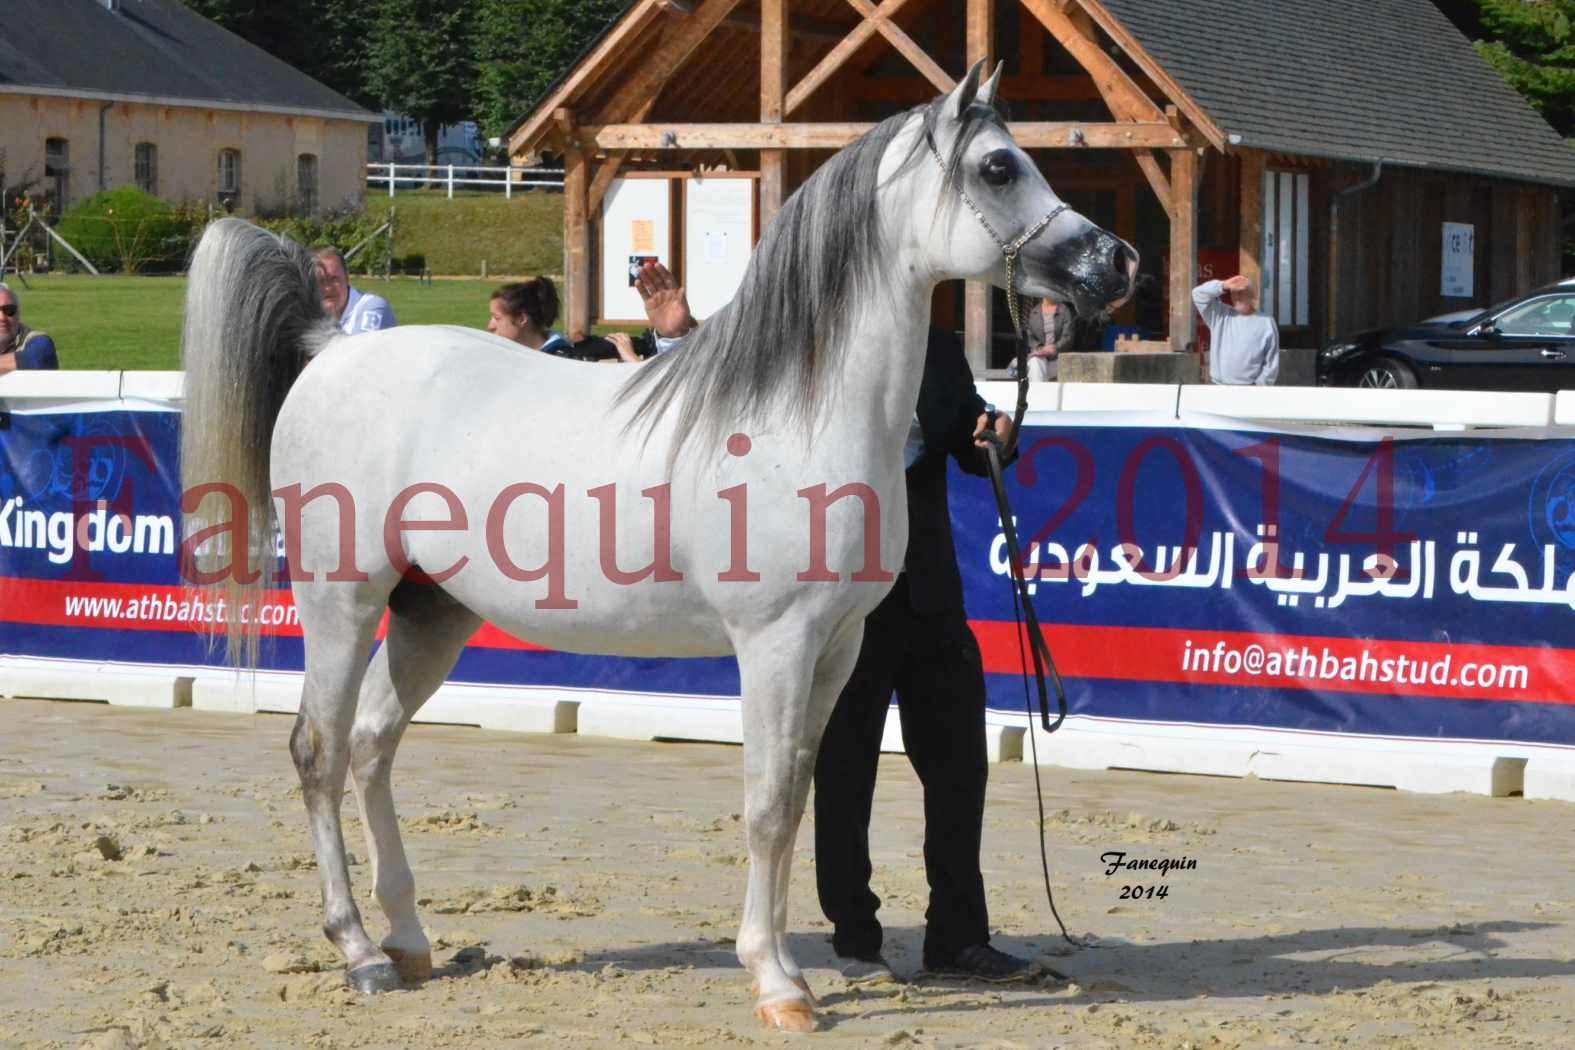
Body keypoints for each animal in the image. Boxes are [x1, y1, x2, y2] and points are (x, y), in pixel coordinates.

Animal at [181, 61, 1134, 1032]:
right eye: (996, 168)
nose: (1117, 263)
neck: (800, 411)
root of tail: (333, 348)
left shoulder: (838, 647)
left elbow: (800, 792)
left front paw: (786, 969)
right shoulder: (775, 644)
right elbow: (768, 803)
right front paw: (777, 984)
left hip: (430, 615)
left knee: (373, 745)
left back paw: (409, 941)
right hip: (341, 601)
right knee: (319, 751)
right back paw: (359, 952)